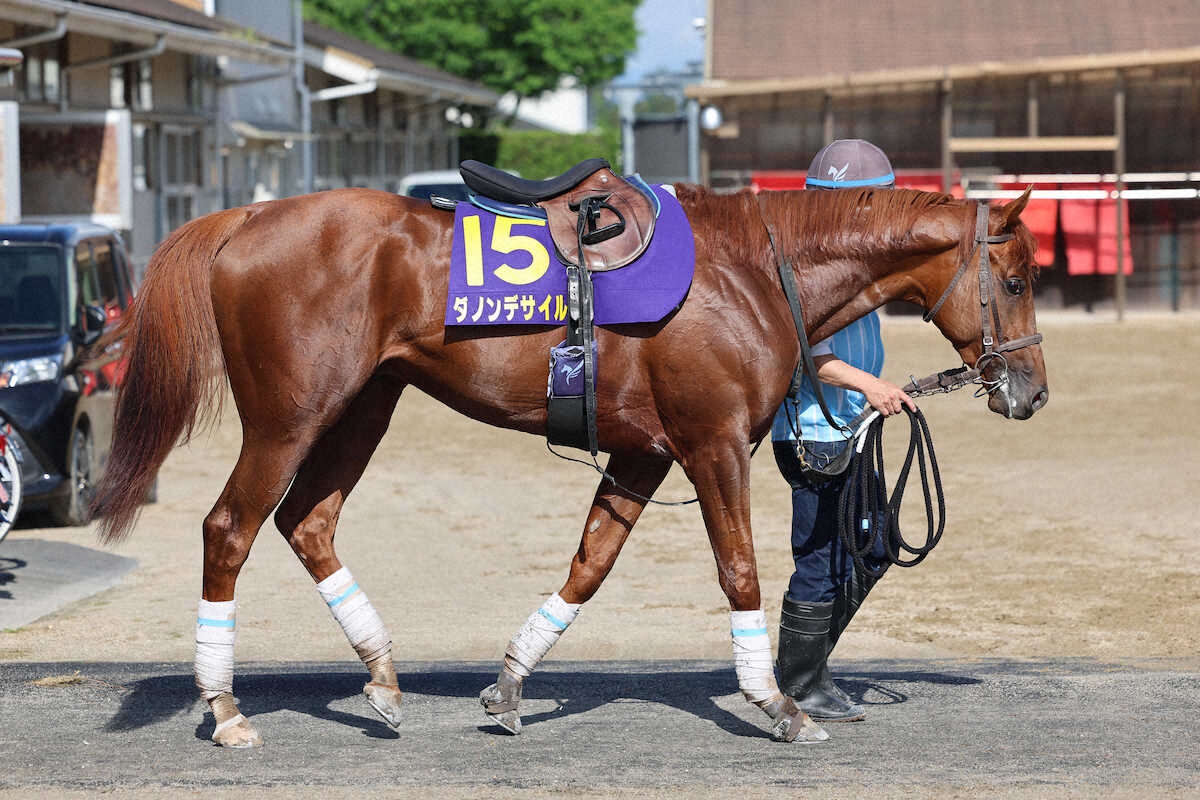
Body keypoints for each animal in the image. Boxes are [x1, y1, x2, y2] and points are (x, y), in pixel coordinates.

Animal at [92, 180, 1047, 747]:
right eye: (1017, 280)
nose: (1031, 391)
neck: (745, 270)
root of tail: (248, 216)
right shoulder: (711, 446)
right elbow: (739, 570)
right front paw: (777, 703)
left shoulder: (641, 455)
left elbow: (589, 565)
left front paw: (511, 683)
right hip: (289, 417)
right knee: (230, 529)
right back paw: (223, 708)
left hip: (365, 404)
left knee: (307, 521)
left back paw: (382, 678)